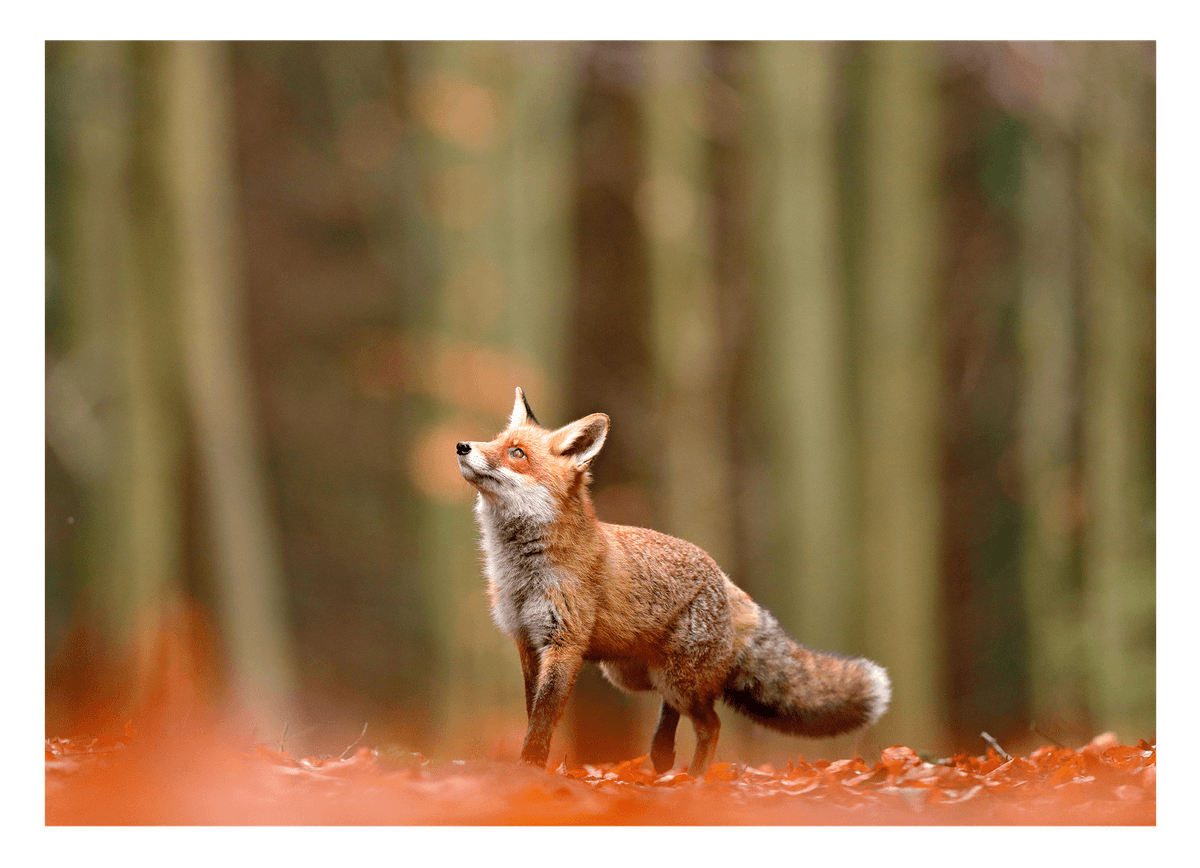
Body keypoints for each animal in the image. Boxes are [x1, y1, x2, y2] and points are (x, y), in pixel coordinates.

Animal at [454, 388, 891, 776]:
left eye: (517, 453)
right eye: (495, 441)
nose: (461, 445)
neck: (521, 572)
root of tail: (724, 578)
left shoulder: (564, 644)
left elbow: (543, 719)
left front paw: (530, 769)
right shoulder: (527, 642)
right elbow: (533, 712)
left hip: (676, 679)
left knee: (710, 724)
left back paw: (694, 779)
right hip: (637, 676)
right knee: (672, 711)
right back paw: (663, 759)